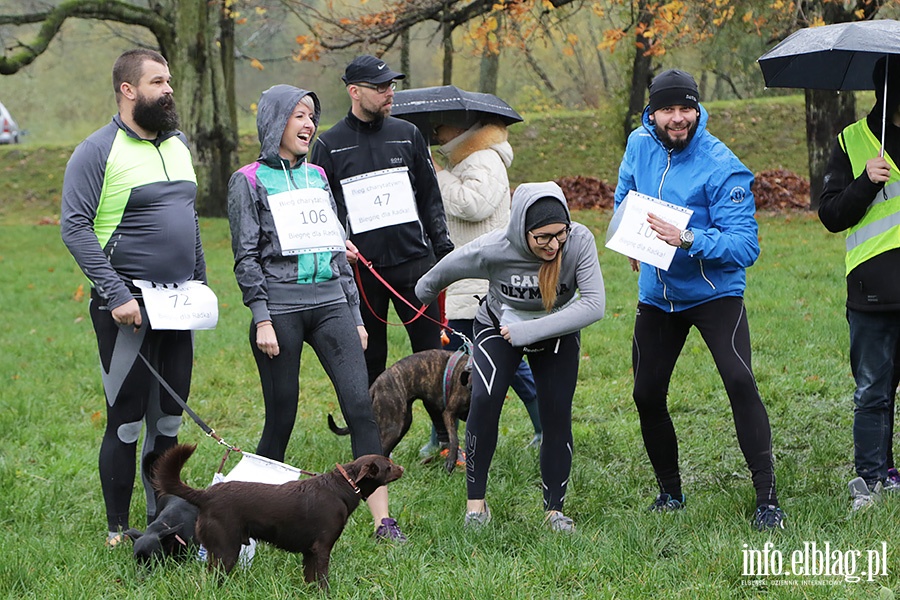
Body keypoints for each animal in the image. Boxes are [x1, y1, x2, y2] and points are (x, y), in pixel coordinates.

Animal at [154, 442, 404, 588]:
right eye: (389, 465)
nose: (402, 468)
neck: (343, 487)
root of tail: (205, 495)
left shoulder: (310, 552)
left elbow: (311, 578)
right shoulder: (322, 548)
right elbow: (323, 579)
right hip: (226, 550)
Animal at [328, 346, 472, 474]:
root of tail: (376, 384)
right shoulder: (449, 413)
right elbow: (454, 439)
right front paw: (451, 461)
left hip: (402, 424)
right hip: (393, 427)